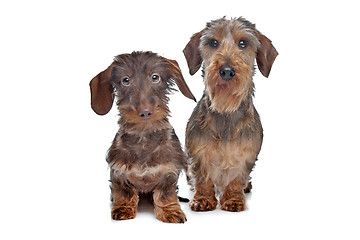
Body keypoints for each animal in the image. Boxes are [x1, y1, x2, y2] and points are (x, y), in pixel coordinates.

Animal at [90, 50, 197, 223]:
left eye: (155, 77)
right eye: (125, 80)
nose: (145, 112)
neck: (144, 139)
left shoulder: (168, 173)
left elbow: (165, 195)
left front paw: (170, 211)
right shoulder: (119, 173)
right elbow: (125, 193)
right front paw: (123, 208)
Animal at [183, 16, 278, 212]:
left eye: (243, 43)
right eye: (213, 42)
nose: (226, 71)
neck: (226, 110)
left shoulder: (246, 154)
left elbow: (237, 179)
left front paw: (233, 199)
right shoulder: (198, 153)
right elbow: (203, 179)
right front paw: (203, 199)